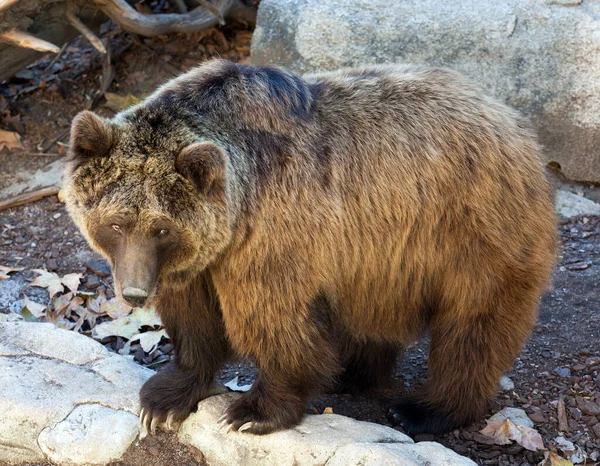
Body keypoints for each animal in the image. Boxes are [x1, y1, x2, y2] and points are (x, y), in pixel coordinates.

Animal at [63, 59, 556, 436]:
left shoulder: (273, 237)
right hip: (381, 255)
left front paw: (252, 412)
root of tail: (514, 120)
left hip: (470, 229)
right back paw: (352, 372)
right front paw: (163, 399)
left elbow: (276, 321)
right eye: (116, 222)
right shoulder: (199, 262)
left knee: (474, 325)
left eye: (161, 228)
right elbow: (194, 322)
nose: (134, 293)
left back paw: (427, 409)